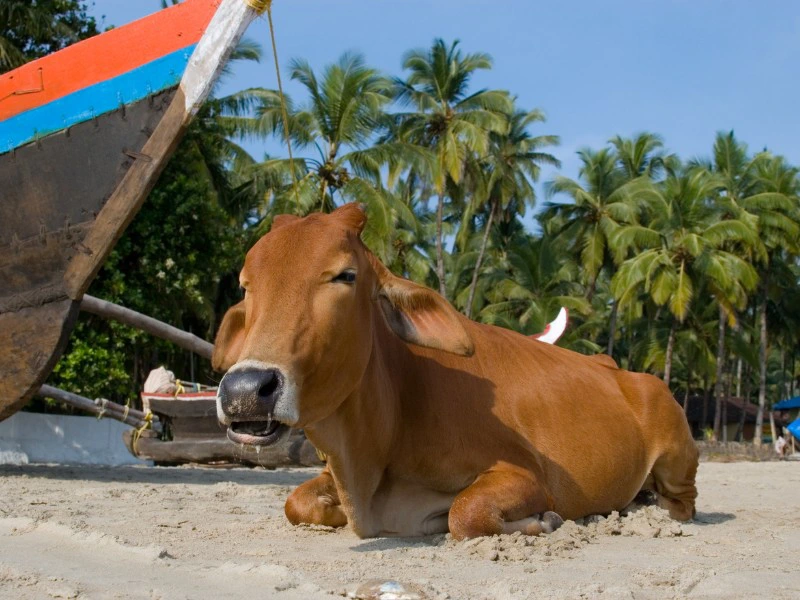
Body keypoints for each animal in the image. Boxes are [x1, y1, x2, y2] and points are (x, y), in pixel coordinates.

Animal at [212, 203, 698, 540]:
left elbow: (464, 515)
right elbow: (295, 503)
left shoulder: (527, 474)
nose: (245, 389)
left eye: (345, 275)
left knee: (683, 504)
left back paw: (643, 508)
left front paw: (543, 521)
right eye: (246, 285)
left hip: (677, 450)